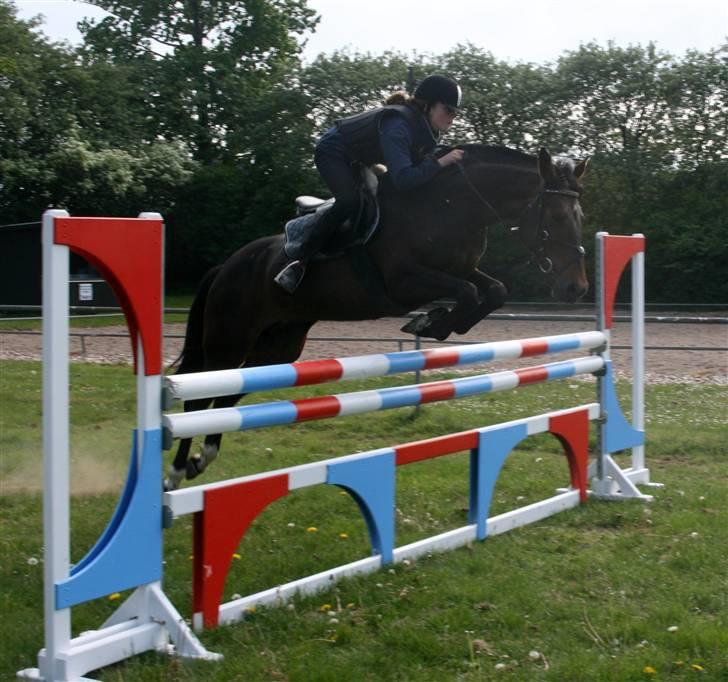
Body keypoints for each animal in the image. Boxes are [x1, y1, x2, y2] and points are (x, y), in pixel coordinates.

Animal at [164, 145, 584, 488]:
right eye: (557, 216)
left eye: (579, 215)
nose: (576, 289)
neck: (452, 205)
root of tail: (227, 266)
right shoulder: (405, 282)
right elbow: (468, 292)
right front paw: (430, 322)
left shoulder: (461, 270)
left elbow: (493, 290)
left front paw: (439, 323)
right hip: (229, 340)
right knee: (200, 399)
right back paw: (176, 472)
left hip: (278, 347)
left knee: (228, 395)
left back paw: (203, 458)